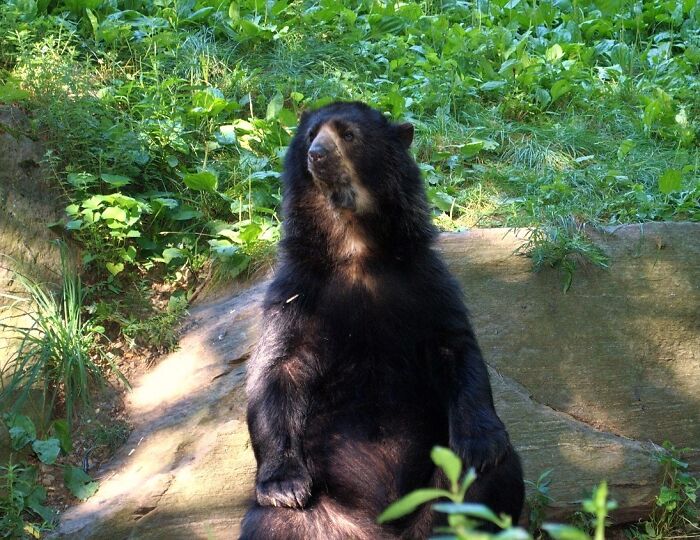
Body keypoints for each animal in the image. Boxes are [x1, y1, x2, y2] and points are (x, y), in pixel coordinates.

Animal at [240, 102, 524, 540]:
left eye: (349, 135)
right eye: (310, 135)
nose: (317, 155)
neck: (356, 246)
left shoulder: (424, 280)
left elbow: (456, 348)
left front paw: (481, 445)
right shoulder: (297, 292)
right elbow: (277, 368)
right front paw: (283, 484)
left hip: (443, 497)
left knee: (493, 479)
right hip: (322, 510)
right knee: (276, 521)